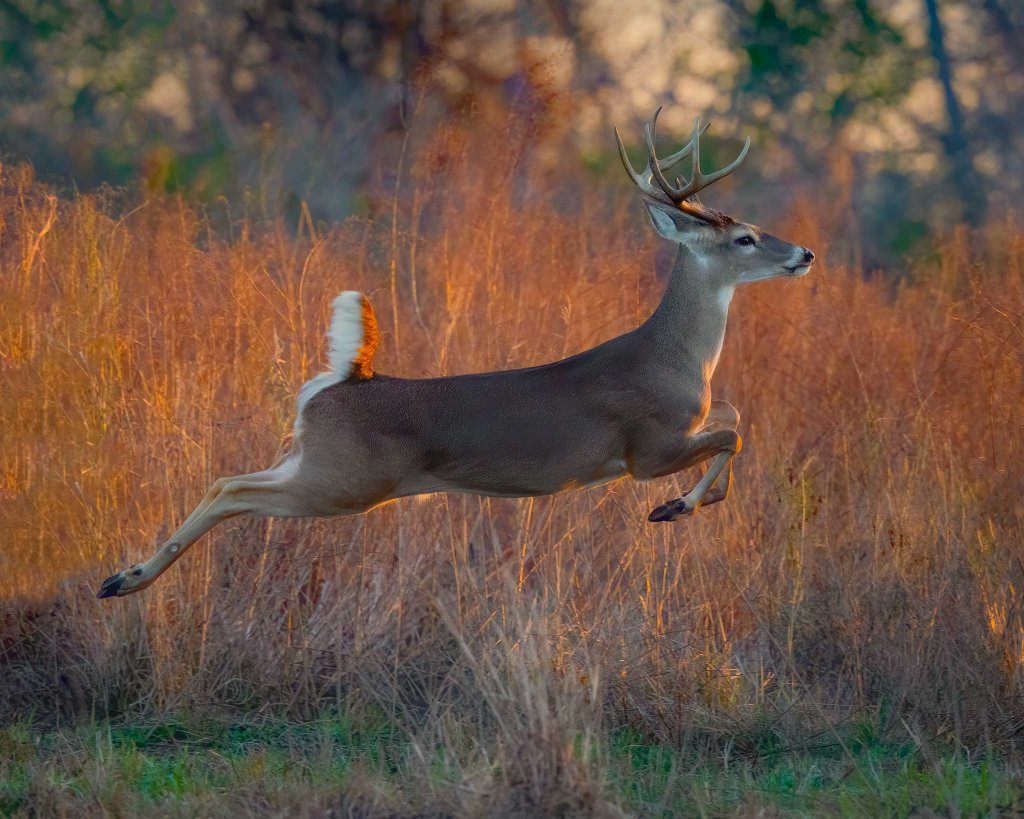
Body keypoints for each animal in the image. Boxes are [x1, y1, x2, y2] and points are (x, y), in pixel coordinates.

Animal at [97, 107, 814, 599]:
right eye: (746, 238)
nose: (804, 253)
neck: (677, 360)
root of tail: (347, 377)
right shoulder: (647, 449)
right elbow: (733, 434)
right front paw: (674, 507)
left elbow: (735, 422)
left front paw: (682, 506)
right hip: (345, 481)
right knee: (234, 490)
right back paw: (126, 580)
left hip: (314, 462)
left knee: (226, 479)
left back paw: (121, 578)